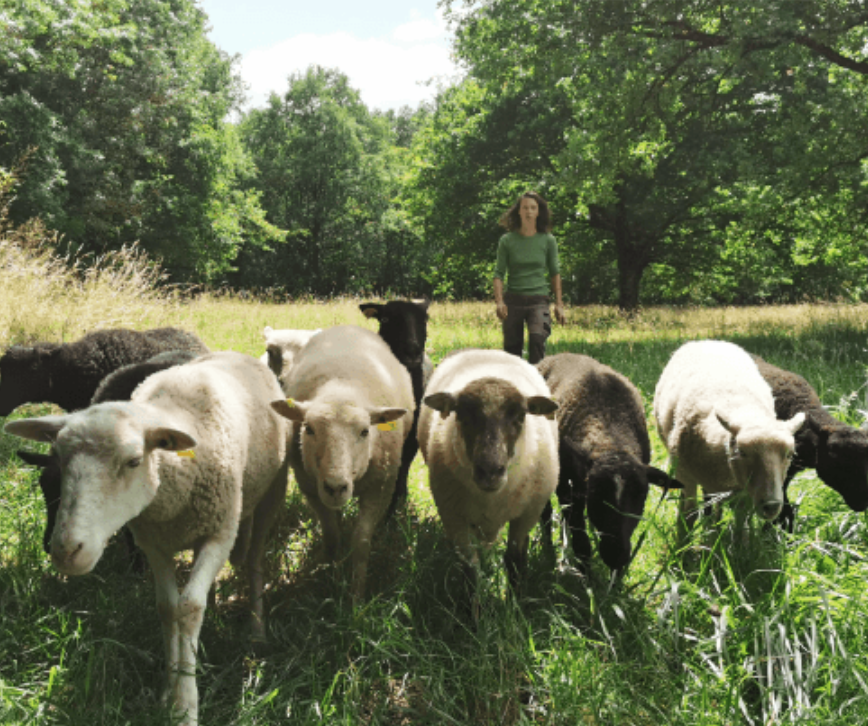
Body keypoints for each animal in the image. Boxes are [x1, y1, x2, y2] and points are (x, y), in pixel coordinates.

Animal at [270, 325, 413, 603]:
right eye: (309, 429)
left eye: (365, 431)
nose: (336, 487)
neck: (341, 388)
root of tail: (347, 327)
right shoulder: (310, 487)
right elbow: (331, 534)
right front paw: (328, 574)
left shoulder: (381, 488)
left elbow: (362, 540)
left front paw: (356, 596)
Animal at [359, 299, 432, 517]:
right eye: (385, 319)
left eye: (425, 319)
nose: (412, 351)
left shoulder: (412, 436)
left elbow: (402, 465)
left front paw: (393, 506)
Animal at [418, 348, 559, 617]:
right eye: (462, 415)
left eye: (520, 415)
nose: (490, 471)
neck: (492, 499)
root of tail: (486, 350)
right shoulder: (454, 517)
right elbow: (469, 570)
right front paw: (473, 617)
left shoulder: (526, 515)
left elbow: (515, 559)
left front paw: (515, 610)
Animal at [537, 353, 682, 574]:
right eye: (596, 496)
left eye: (641, 496)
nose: (617, 556)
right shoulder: (569, 489)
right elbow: (581, 542)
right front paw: (585, 579)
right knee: (545, 513)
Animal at [653, 340, 805, 539]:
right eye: (742, 452)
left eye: (790, 455)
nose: (771, 506)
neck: (745, 411)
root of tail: (708, 340)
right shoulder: (685, 475)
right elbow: (688, 515)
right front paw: (682, 544)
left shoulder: (743, 491)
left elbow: (742, 521)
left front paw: (740, 542)